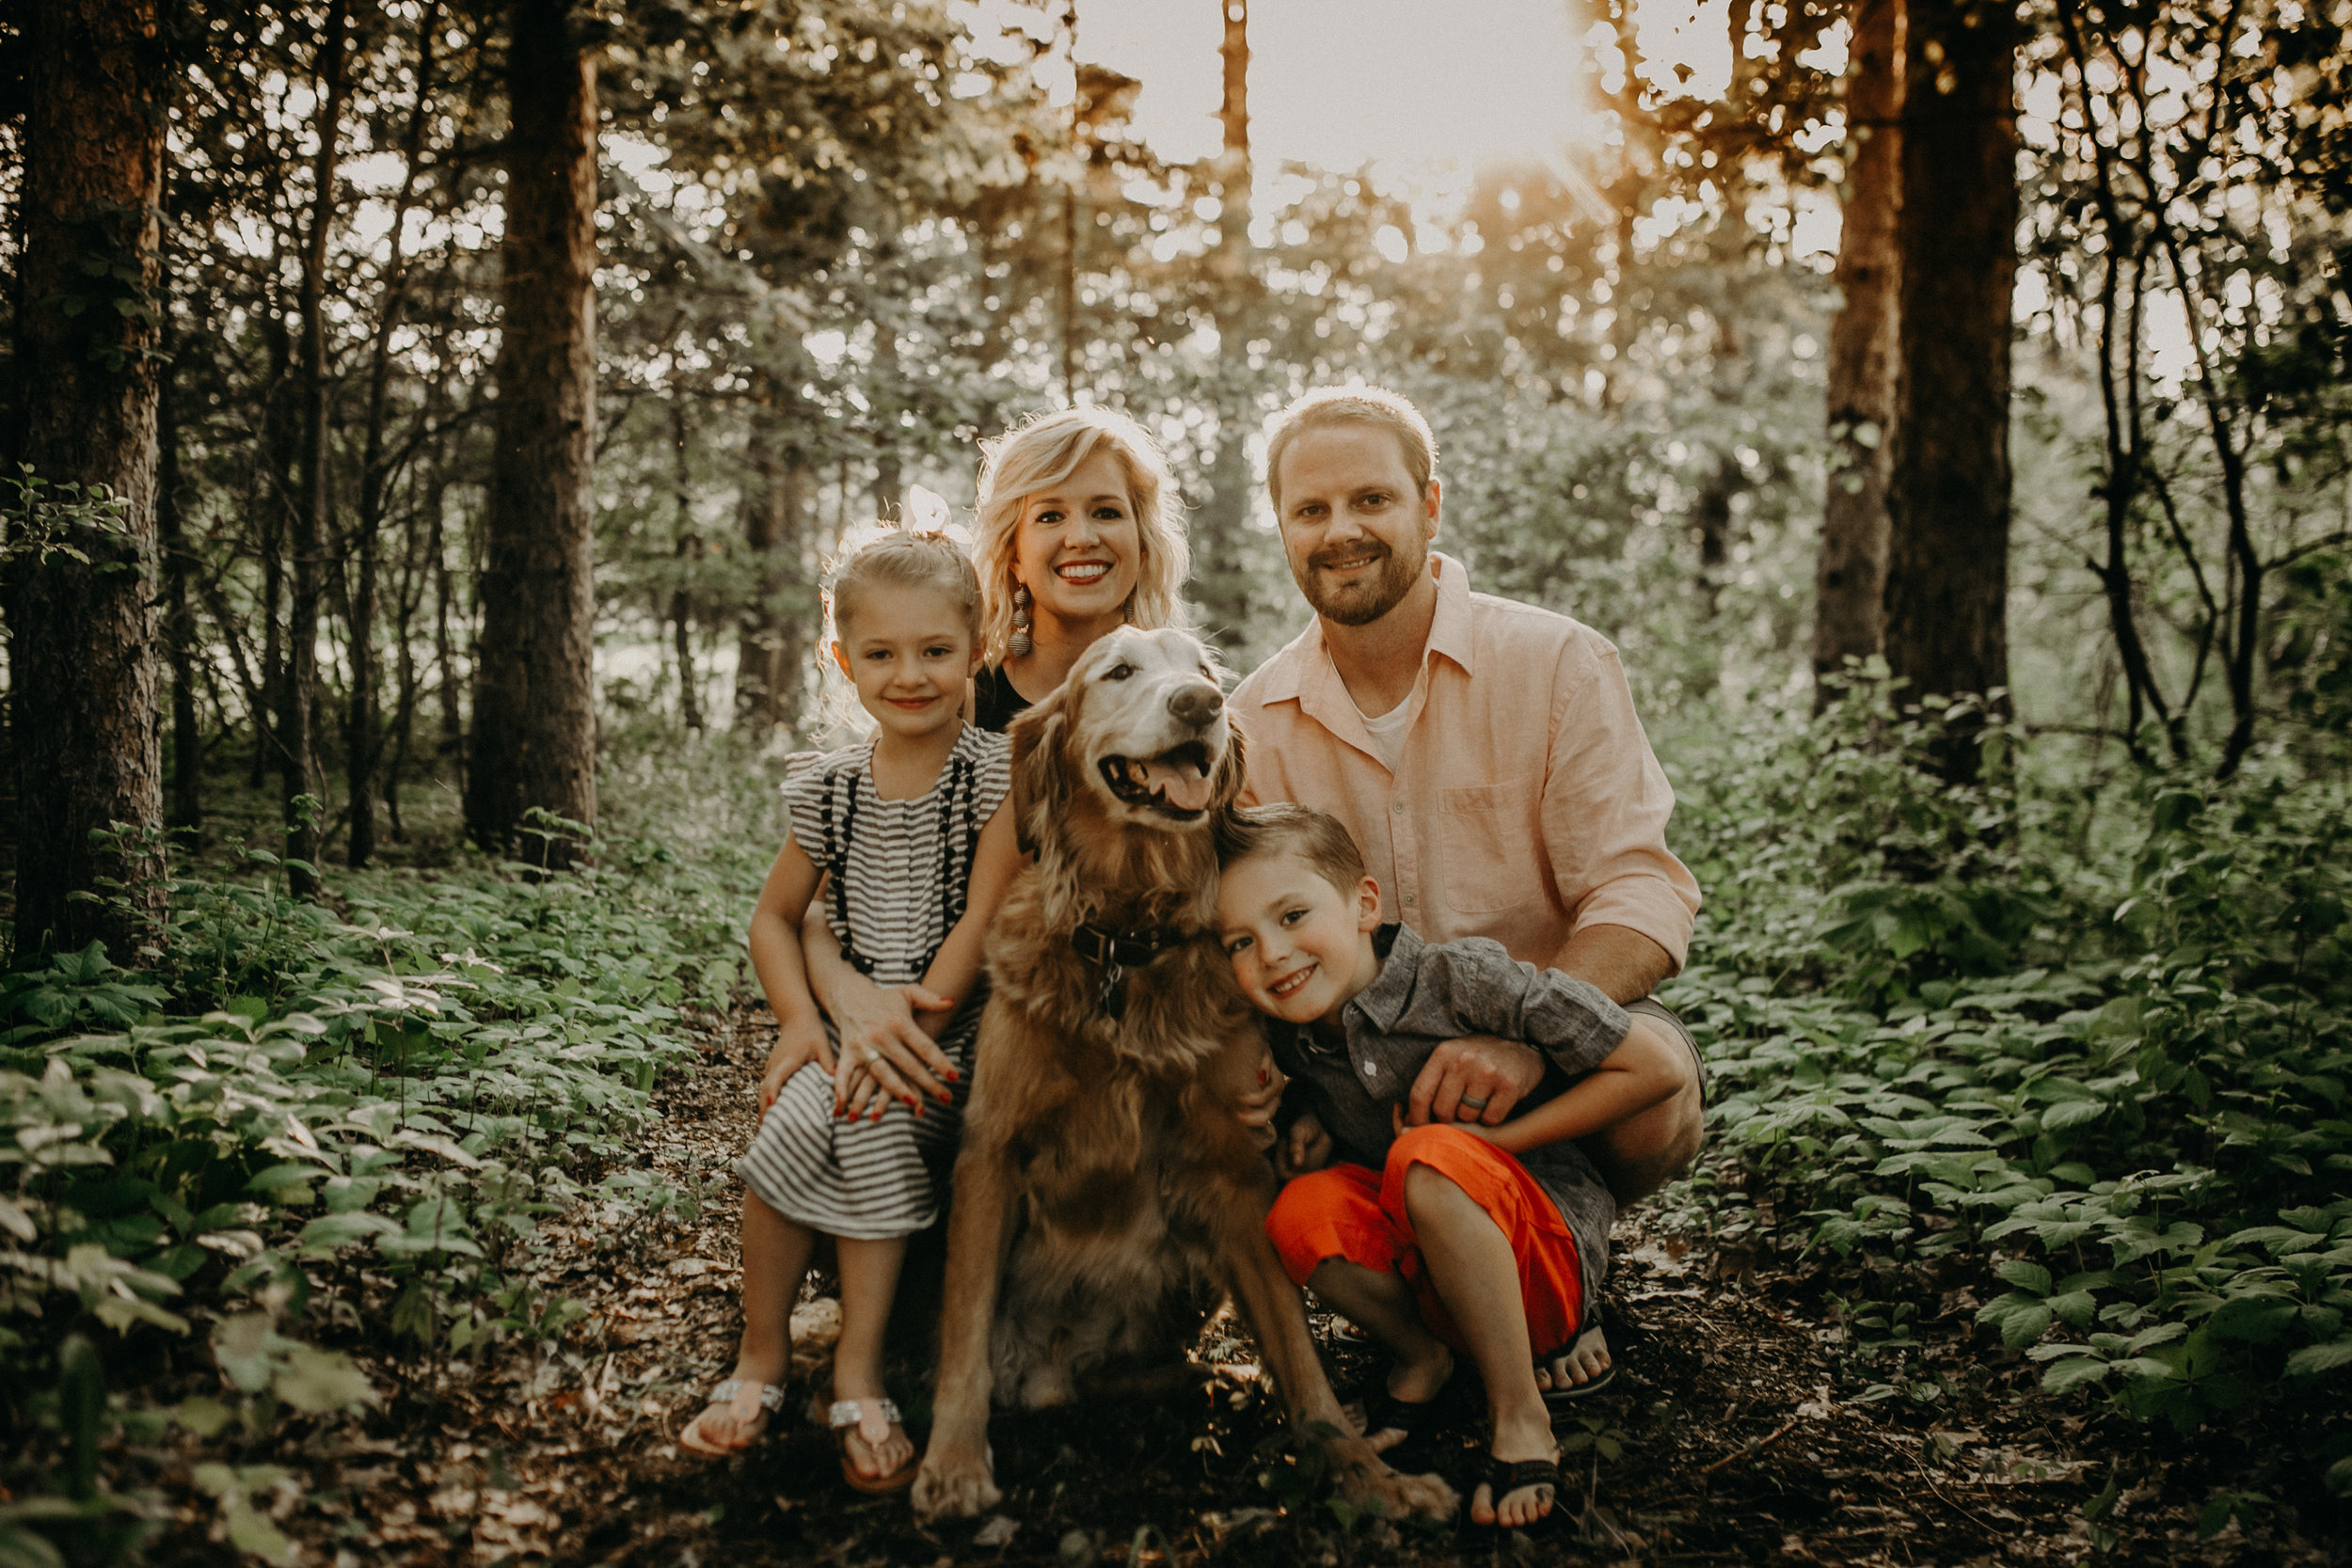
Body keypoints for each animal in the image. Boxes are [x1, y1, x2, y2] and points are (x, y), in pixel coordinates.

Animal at [913, 625, 1449, 1523]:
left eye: (1201, 670)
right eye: (1119, 671)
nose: (1201, 706)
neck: (1129, 942)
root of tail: (1050, 1368)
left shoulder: (1233, 1171)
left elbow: (1300, 1353)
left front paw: (1366, 1473)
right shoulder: (991, 1148)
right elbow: (962, 1325)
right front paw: (952, 1462)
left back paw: (1218, 1378)